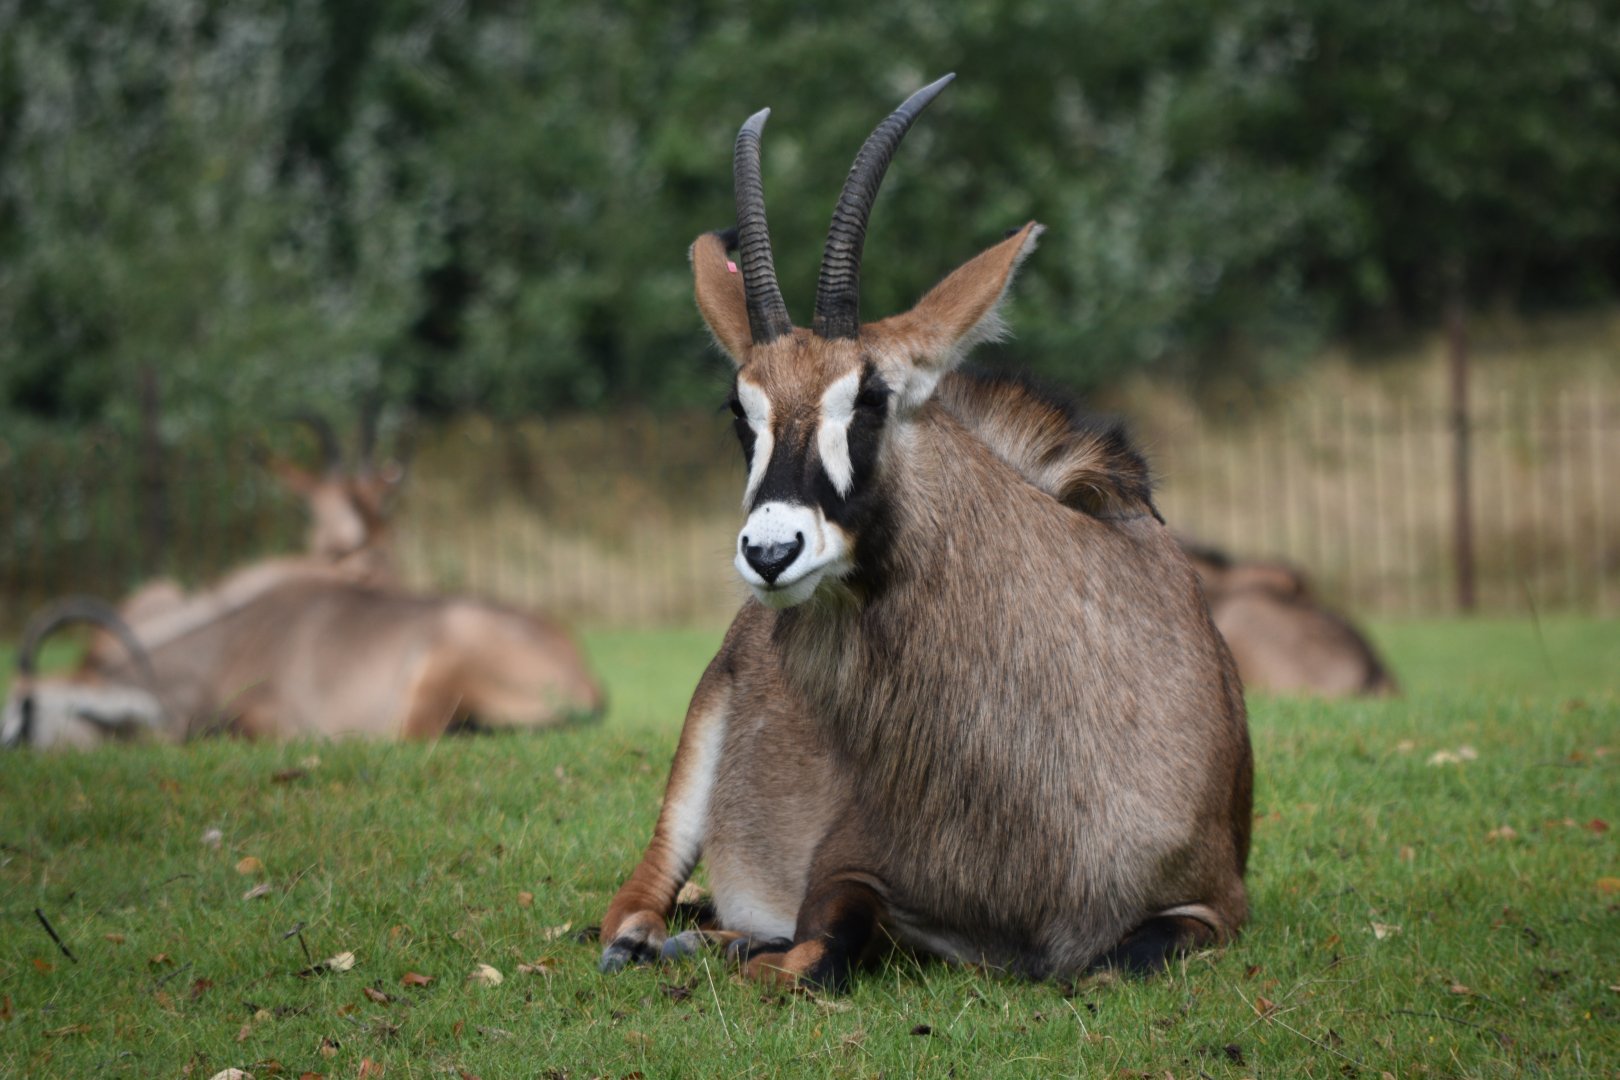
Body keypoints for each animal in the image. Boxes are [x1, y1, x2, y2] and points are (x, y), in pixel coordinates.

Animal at [598, 76, 1252, 991]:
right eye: (738, 409)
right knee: (641, 899)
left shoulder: (1216, 905)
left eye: (870, 397)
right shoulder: (850, 863)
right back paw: (664, 939)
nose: (770, 552)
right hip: (695, 751)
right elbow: (824, 946)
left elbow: (1105, 965)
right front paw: (754, 949)